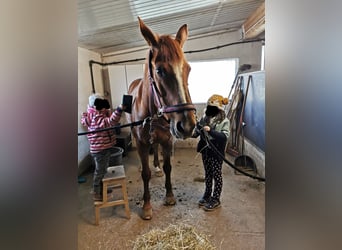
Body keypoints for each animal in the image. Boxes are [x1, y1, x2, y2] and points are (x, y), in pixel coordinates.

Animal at [125, 17, 196, 220]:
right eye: (159, 71)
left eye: (188, 69)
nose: (187, 126)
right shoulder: (142, 143)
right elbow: (145, 174)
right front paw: (147, 206)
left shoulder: (167, 140)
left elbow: (168, 167)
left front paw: (170, 196)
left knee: (155, 149)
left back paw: (156, 166)